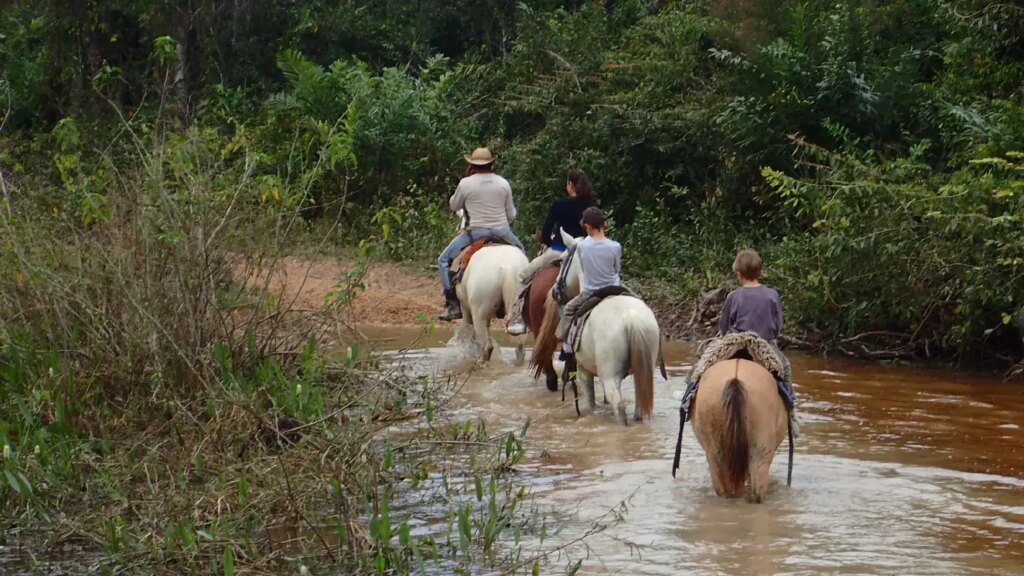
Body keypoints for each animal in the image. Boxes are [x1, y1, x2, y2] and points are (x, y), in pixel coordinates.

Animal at [528, 227, 663, 422]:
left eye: (563, 259)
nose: (554, 291)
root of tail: (632, 320)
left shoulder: (584, 370)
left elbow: (591, 402)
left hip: (609, 376)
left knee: (619, 406)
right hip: (644, 371)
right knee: (638, 409)